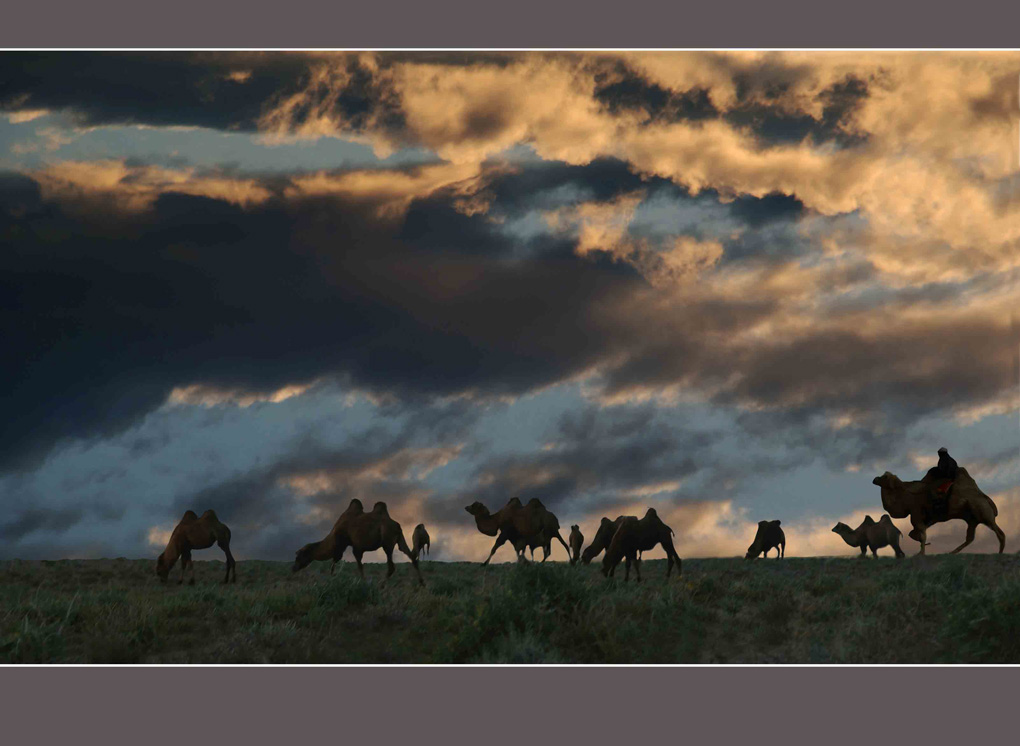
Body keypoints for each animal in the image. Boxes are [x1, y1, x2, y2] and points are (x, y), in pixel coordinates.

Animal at [869, 469, 1003, 559]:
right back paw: (951, 552)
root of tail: (987, 499)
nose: (875, 479)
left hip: (984, 514)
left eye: (885, 476)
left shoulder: (916, 513)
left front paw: (921, 553)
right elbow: (916, 533)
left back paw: (1000, 552)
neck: (905, 496)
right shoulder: (925, 518)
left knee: (999, 533)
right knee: (970, 538)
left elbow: (922, 534)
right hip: (973, 520)